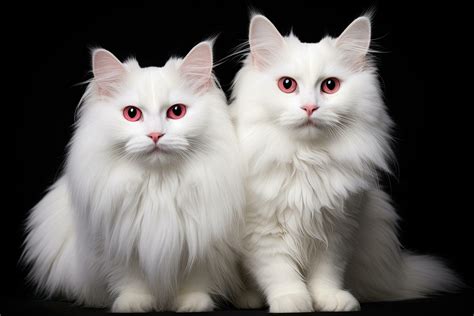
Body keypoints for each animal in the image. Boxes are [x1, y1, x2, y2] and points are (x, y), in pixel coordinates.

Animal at [22, 40, 244, 312]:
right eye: (131, 113)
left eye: (177, 111)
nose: (155, 135)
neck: (159, 184)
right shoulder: (117, 243)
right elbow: (131, 278)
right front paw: (134, 303)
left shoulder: (202, 242)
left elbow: (195, 278)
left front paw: (192, 303)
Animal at [233, 14, 460, 312]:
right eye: (287, 85)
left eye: (330, 86)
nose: (310, 107)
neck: (308, 159)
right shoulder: (263, 233)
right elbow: (279, 272)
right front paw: (292, 300)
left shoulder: (338, 230)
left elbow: (327, 273)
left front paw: (331, 299)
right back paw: (247, 298)